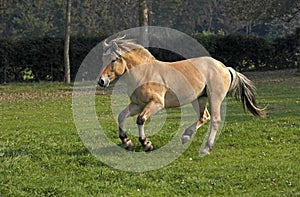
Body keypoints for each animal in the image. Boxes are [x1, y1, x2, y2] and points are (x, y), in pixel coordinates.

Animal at [96, 37, 264, 155]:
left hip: (214, 98)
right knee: (204, 117)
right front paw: (127, 143)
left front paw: (146, 144)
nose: (101, 81)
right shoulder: (137, 105)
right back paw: (186, 136)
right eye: (102, 59)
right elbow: (121, 116)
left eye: (113, 60)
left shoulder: (156, 104)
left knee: (215, 120)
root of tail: (224, 67)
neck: (145, 73)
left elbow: (140, 119)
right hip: (199, 99)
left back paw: (206, 149)